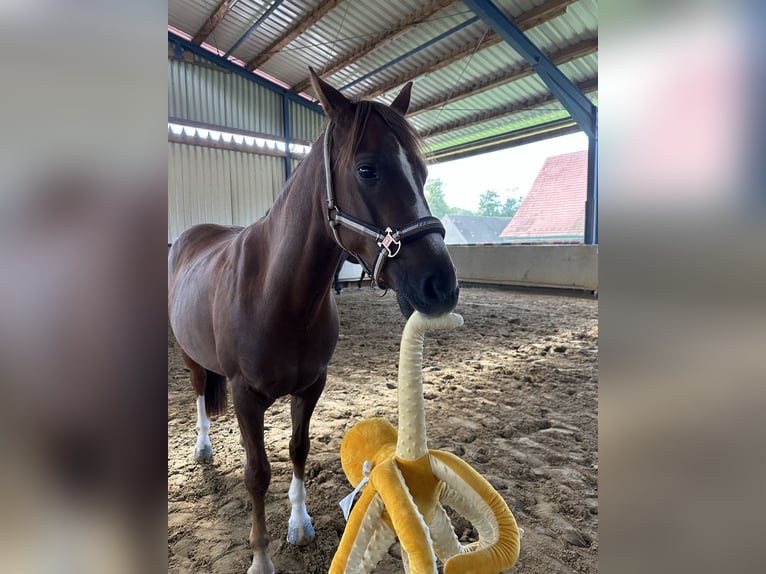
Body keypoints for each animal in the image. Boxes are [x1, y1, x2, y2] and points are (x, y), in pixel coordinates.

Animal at [168, 68, 459, 574]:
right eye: (367, 169)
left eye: (422, 174)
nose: (441, 285)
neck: (279, 295)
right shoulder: (245, 396)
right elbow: (257, 473)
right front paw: (261, 558)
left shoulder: (311, 387)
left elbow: (298, 450)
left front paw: (299, 525)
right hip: (189, 355)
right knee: (200, 391)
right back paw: (202, 447)